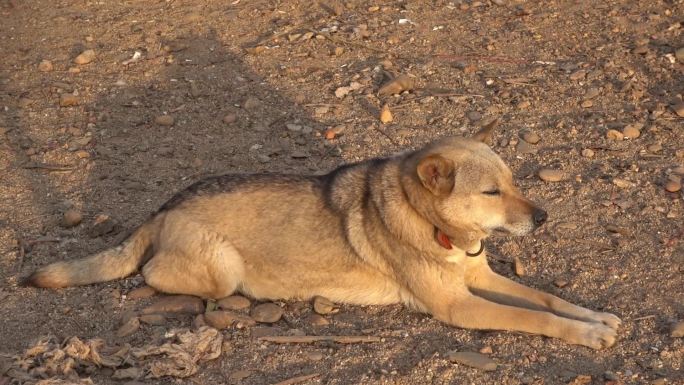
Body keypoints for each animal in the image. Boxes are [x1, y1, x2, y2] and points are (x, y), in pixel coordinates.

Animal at [25, 121, 620, 350]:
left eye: (514, 182)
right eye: (492, 192)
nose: (543, 218)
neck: (438, 231)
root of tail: (165, 205)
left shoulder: (483, 277)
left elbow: (547, 298)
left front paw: (595, 317)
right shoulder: (459, 305)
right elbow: (534, 317)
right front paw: (585, 334)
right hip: (222, 271)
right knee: (152, 272)